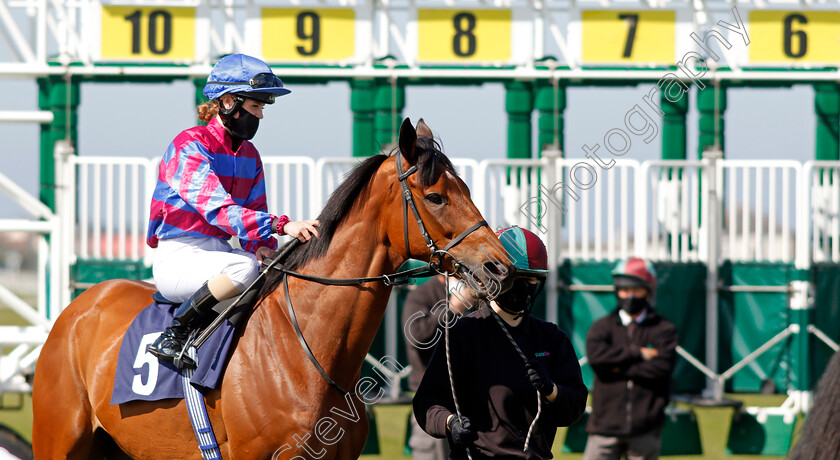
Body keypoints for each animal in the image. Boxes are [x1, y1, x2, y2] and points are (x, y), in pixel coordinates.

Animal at [32, 119, 512, 460]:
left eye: (466, 189)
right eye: (435, 197)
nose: (499, 266)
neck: (308, 354)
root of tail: (80, 307)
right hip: (59, 441)